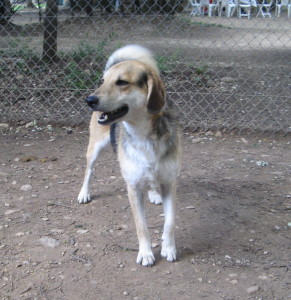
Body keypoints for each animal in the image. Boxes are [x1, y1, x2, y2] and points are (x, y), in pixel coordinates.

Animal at [78, 44, 181, 264]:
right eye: (104, 81)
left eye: (122, 82)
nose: (89, 100)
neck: (144, 136)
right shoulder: (133, 188)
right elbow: (141, 225)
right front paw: (146, 253)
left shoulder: (170, 183)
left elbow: (170, 221)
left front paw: (169, 248)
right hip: (94, 150)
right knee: (88, 172)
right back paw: (84, 193)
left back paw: (153, 194)